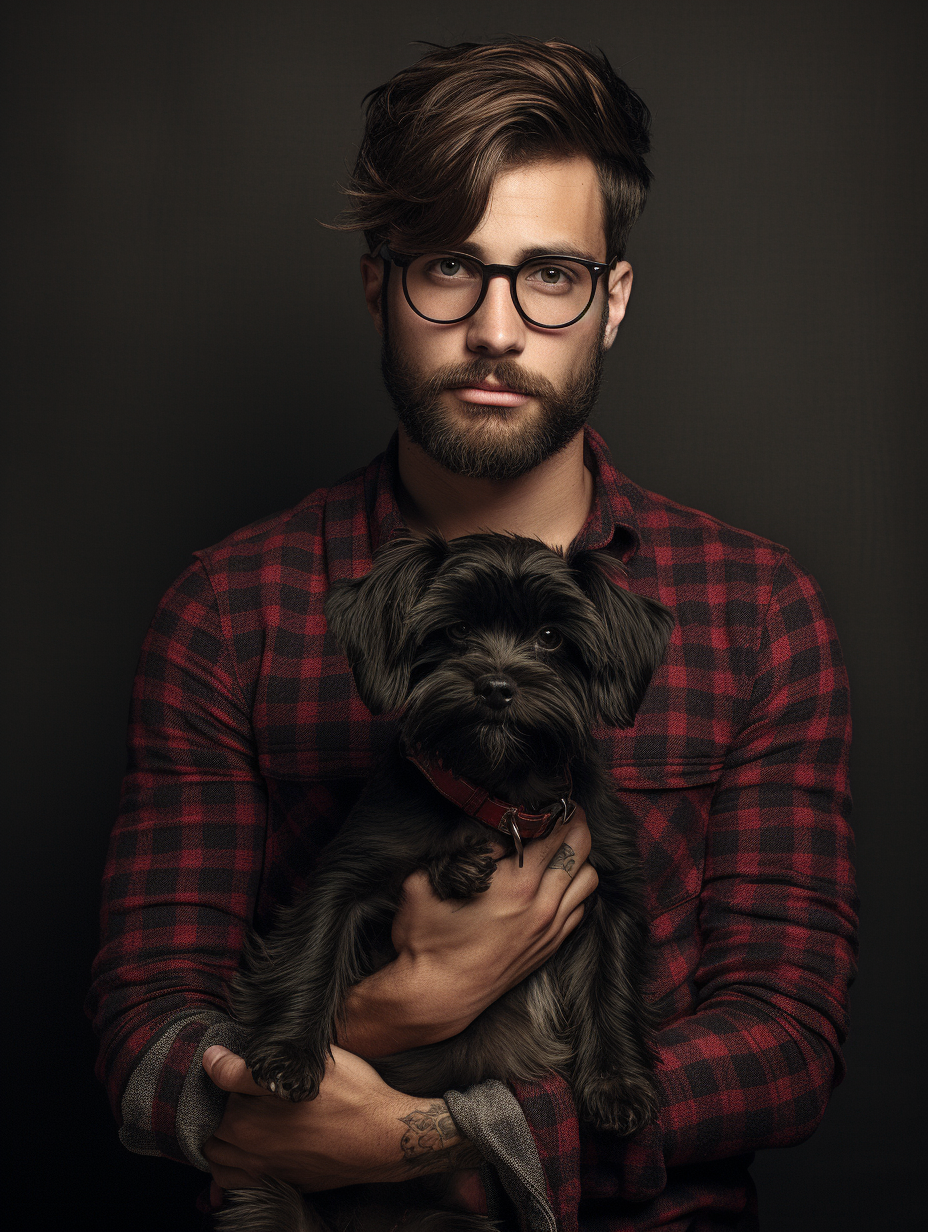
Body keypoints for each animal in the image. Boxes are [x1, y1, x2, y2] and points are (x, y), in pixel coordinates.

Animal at [221, 532, 675, 1232]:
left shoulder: (613, 890)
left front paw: (619, 1084)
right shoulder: (349, 870)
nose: (497, 686)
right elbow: (311, 954)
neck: (498, 794)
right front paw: (289, 1055)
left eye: (551, 637)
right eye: (456, 630)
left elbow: (612, 987)